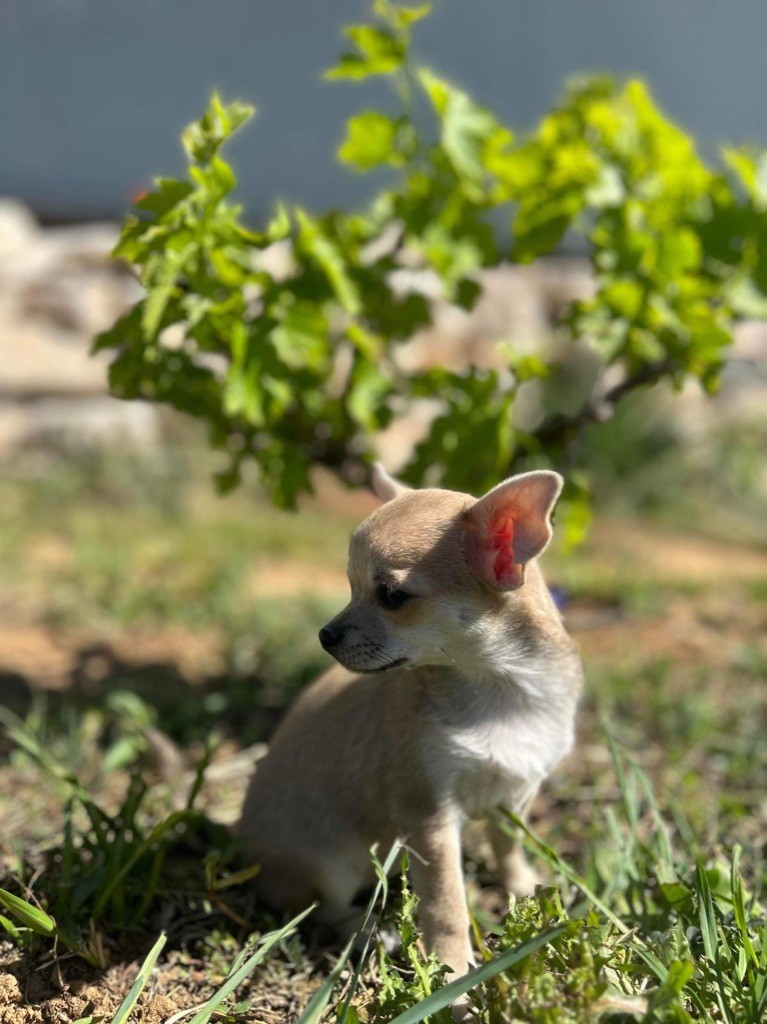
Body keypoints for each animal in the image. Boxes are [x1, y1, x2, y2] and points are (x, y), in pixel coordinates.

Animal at [237, 468, 581, 978]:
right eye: (351, 587)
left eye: (392, 597)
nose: (325, 635)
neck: (501, 686)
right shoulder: (430, 817)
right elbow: (446, 903)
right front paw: (454, 971)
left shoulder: (514, 797)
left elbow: (508, 848)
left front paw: (525, 889)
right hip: (331, 866)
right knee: (322, 909)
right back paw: (368, 931)